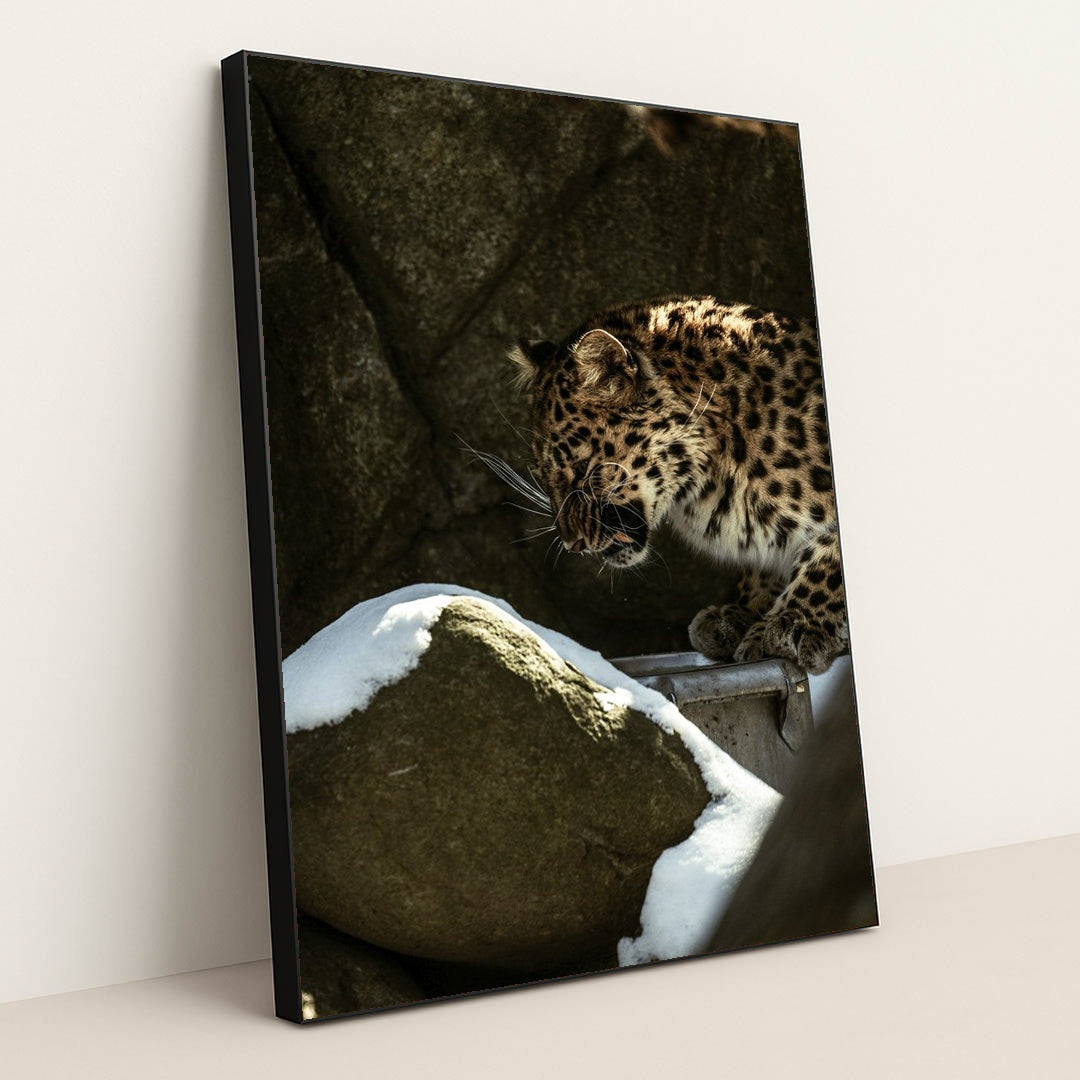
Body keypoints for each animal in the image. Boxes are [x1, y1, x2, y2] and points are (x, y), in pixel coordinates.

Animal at [507, 295, 849, 675]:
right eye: (542, 474)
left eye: (582, 470)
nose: (572, 544)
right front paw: (744, 611)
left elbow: (830, 557)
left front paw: (793, 624)